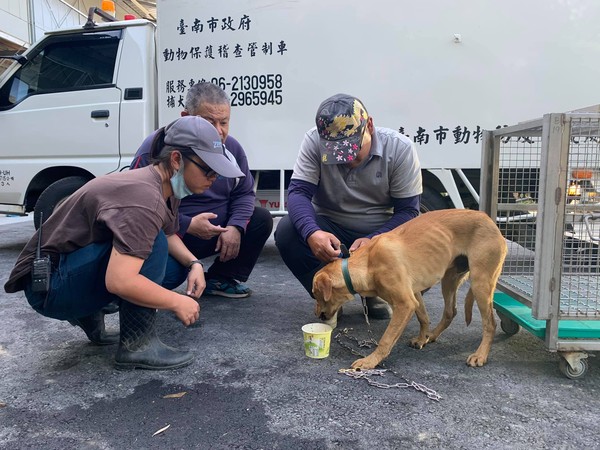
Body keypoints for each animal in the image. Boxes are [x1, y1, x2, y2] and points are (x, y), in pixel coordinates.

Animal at [314, 209, 506, 370]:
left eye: (317, 296)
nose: (318, 316)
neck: (367, 264)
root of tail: (491, 222)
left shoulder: (405, 303)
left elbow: (386, 339)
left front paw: (370, 361)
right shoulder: (414, 295)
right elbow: (423, 318)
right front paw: (422, 338)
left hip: (480, 283)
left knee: (490, 324)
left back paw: (480, 355)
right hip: (449, 279)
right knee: (450, 312)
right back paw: (432, 335)